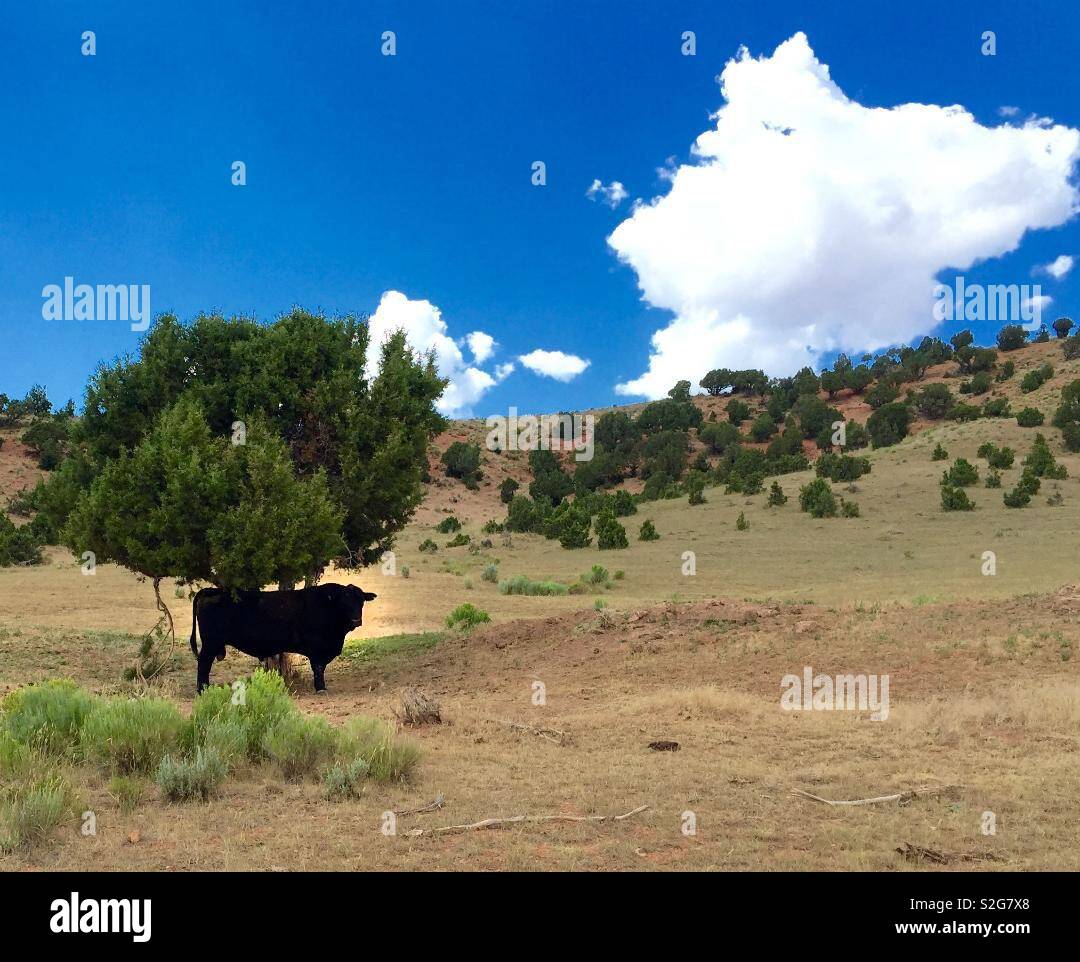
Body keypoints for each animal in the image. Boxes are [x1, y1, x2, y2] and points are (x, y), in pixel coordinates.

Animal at [188, 584, 377, 694]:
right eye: (344, 602)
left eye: (361, 601)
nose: (356, 620)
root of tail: (213, 590)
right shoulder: (317, 649)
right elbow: (318, 668)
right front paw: (321, 688)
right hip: (210, 643)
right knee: (203, 664)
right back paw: (202, 690)